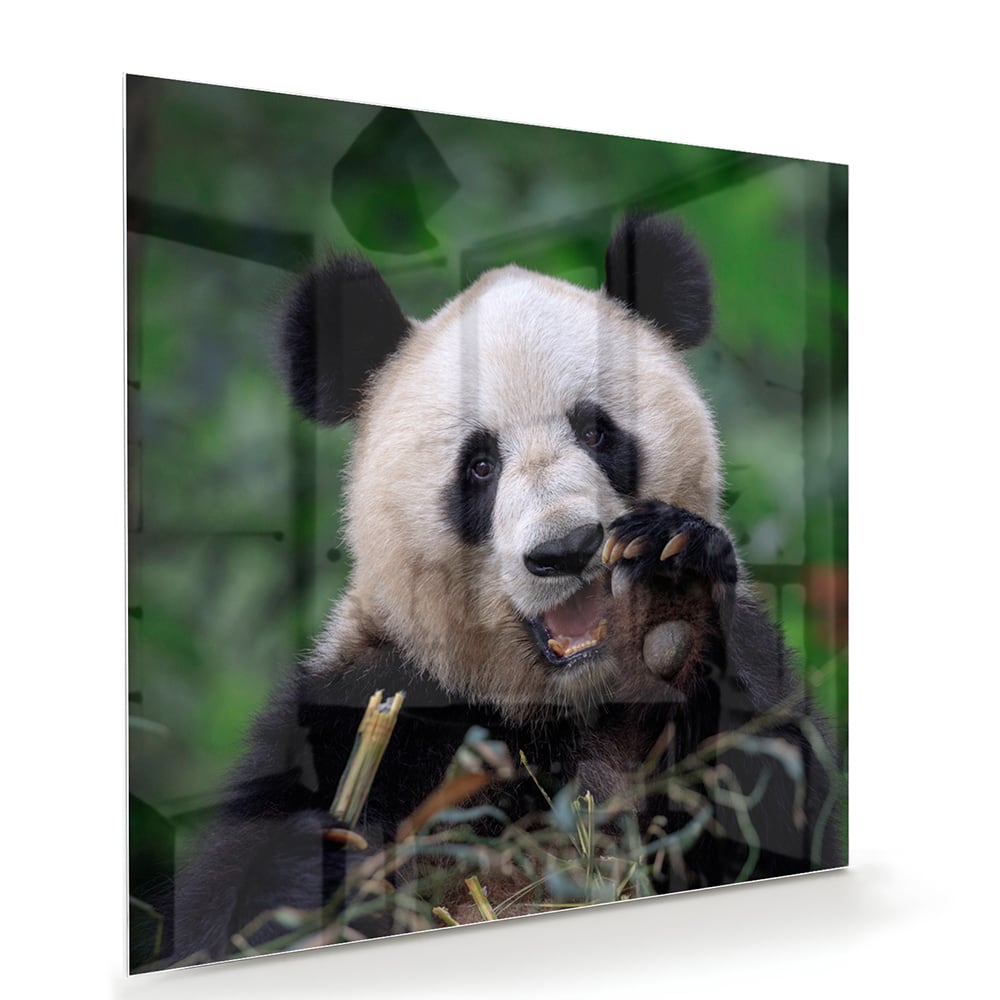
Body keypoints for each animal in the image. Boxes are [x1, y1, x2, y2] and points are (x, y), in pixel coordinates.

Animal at [170, 215, 843, 964]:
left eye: (596, 431)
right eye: (480, 465)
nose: (566, 549)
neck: (556, 708)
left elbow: (775, 821)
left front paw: (675, 607)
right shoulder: (361, 706)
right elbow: (218, 912)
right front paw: (314, 871)